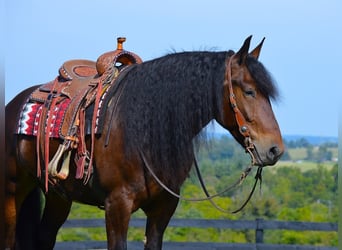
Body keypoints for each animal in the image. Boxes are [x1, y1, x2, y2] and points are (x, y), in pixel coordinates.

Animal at [4, 36, 284, 249]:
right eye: (249, 91)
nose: (275, 150)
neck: (145, 130)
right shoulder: (117, 207)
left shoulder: (163, 209)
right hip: (11, 193)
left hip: (58, 196)